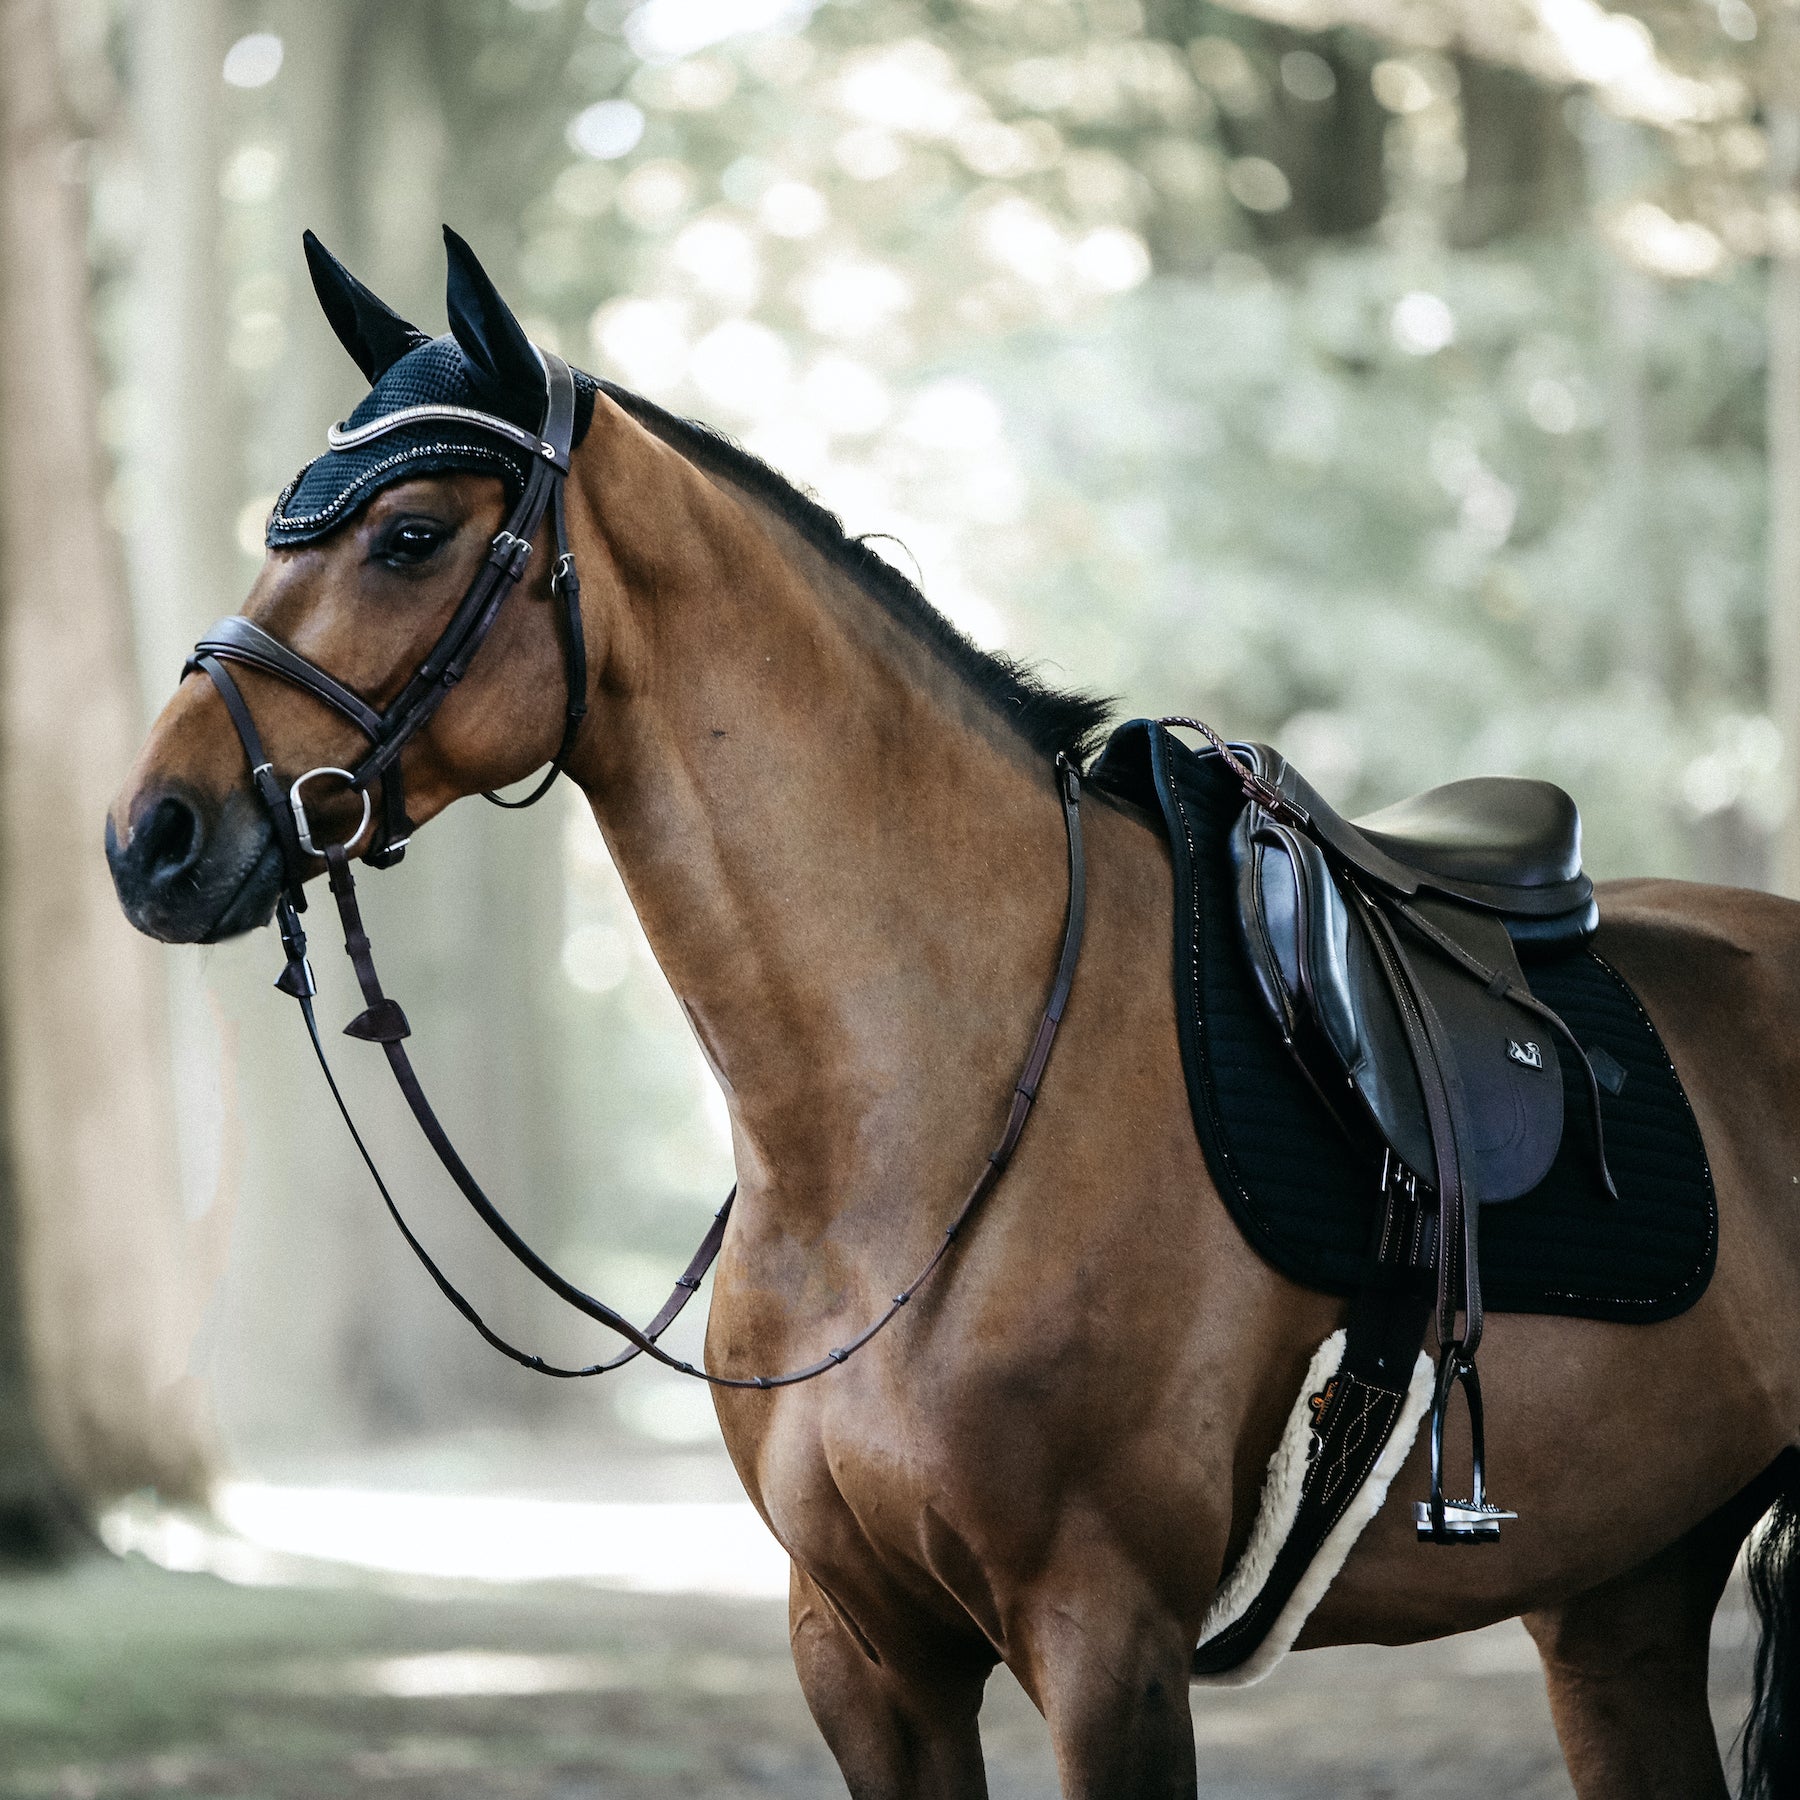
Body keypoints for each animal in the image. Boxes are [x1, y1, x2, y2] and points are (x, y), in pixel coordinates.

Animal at [105, 239, 1800, 1800]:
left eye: (407, 536)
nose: (152, 839)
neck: (923, 1114)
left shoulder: (1104, 1644)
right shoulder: (867, 1654)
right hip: (1618, 1599)